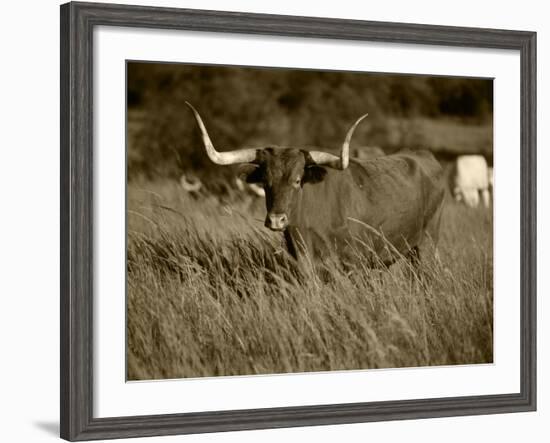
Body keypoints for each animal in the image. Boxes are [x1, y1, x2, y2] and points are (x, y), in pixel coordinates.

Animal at [188, 102, 446, 266]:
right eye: (265, 181)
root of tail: (421, 154)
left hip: (426, 245)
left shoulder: (354, 262)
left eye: (297, 180)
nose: (276, 220)